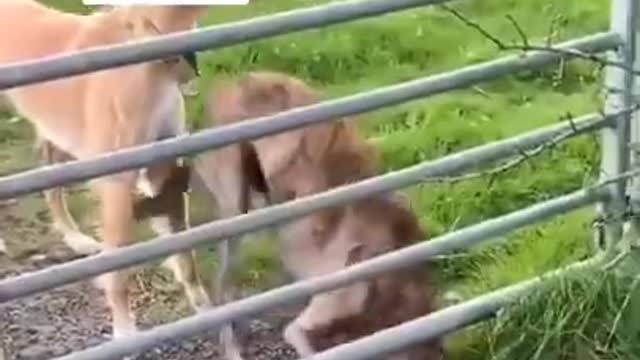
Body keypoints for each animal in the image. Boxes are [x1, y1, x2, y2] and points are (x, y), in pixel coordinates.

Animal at [0, 0, 211, 340]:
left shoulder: (168, 173)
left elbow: (186, 255)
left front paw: (207, 310)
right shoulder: (117, 186)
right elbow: (118, 273)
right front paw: (124, 332)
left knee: (52, 189)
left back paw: (75, 238)